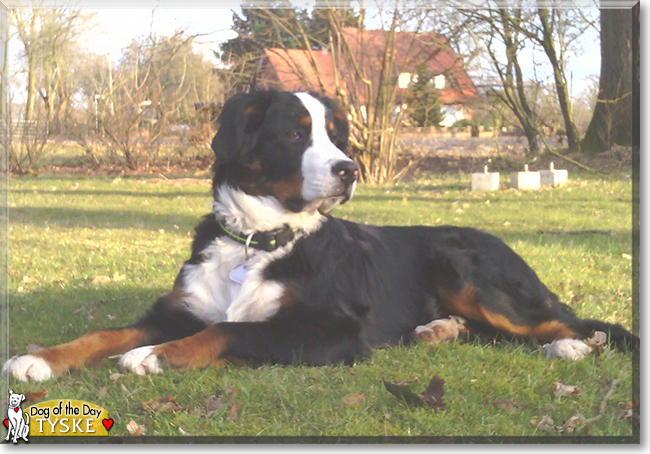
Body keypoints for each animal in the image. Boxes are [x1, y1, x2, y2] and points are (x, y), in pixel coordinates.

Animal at [1, 89, 636, 384]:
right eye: (294, 133)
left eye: (336, 134)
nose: (349, 169)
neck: (256, 241)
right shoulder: (180, 309)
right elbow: (105, 332)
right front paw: (39, 360)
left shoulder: (330, 329)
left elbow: (232, 329)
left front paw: (156, 355)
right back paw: (436, 331)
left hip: (467, 269)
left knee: (563, 322)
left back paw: (574, 345)